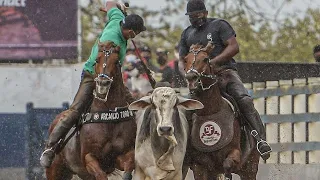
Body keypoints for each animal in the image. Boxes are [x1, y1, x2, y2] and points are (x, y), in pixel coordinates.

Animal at [45, 41, 136, 179]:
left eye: (116, 61)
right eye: (97, 60)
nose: (103, 84)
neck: (108, 116)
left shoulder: (124, 154)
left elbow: (128, 166)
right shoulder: (89, 158)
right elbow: (100, 174)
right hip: (55, 170)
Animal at [182, 41, 260, 179]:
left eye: (205, 59)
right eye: (185, 60)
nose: (191, 78)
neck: (210, 111)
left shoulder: (235, 154)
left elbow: (228, 164)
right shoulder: (200, 166)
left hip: (250, 168)